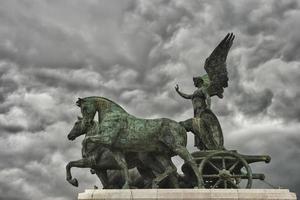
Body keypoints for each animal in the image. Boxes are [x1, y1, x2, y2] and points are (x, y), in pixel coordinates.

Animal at [73, 96, 204, 188]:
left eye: (84, 108)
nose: (87, 123)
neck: (112, 115)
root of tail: (180, 126)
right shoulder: (115, 149)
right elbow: (123, 165)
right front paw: (127, 186)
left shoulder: (106, 138)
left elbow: (86, 139)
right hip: (159, 154)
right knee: (171, 169)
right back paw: (155, 183)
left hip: (177, 147)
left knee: (191, 161)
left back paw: (200, 185)